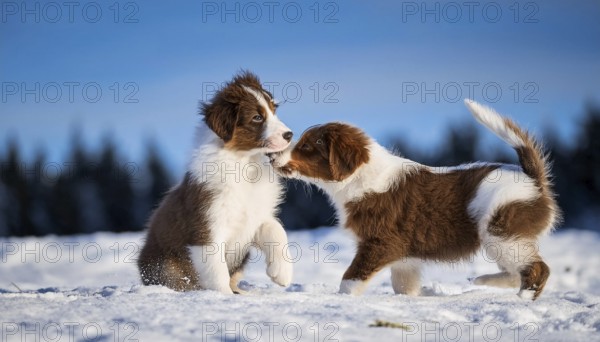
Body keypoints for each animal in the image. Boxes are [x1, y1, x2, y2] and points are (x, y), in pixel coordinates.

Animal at [137, 71, 296, 292]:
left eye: (274, 110)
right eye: (257, 117)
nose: (289, 135)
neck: (245, 163)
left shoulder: (253, 217)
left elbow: (276, 229)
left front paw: (282, 272)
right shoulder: (207, 229)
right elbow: (216, 272)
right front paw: (223, 297)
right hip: (165, 265)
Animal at [270, 99, 560, 300]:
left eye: (307, 147)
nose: (272, 156)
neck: (360, 178)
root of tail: (532, 178)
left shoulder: (380, 243)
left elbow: (350, 278)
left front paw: (342, 300)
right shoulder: (404, 258)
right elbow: (403, 286)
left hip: (502, 233)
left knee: (537, 268)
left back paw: (522, 299)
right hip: (502, 239)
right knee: (516, 271)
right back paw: (482, 281)